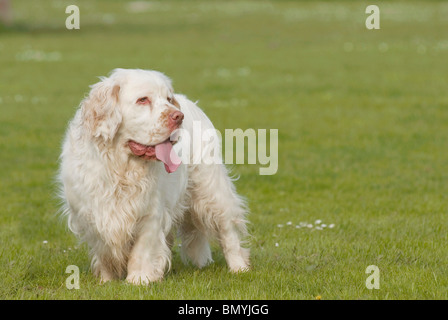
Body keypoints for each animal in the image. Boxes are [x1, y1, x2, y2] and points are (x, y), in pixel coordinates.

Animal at [57, 69, 248, 284]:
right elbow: (104, 249)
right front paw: (107, 280)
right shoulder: (91, 213)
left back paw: (239, 267)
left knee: (228, 229)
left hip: (211, 189)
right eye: (143, 100)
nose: (178, 116)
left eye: (168, 99)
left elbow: (143, 249)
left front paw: (139, 279)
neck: (121, 168)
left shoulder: (151, 212)